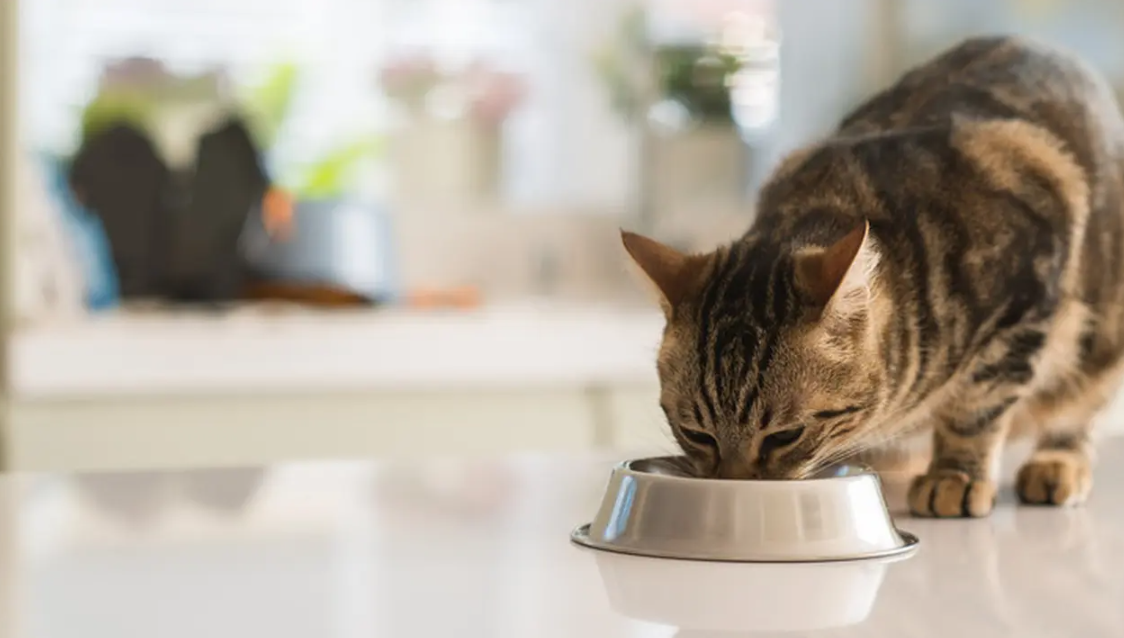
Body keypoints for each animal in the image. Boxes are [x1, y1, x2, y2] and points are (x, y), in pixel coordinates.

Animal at [624, 37, 1124, 518]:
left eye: (785, 436)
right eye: (697, 434)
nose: (733, 485)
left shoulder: (1025, 292)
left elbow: (976, 407)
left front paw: (956, 475)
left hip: (1100, 345)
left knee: (1074, 412)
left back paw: (1057, 462)